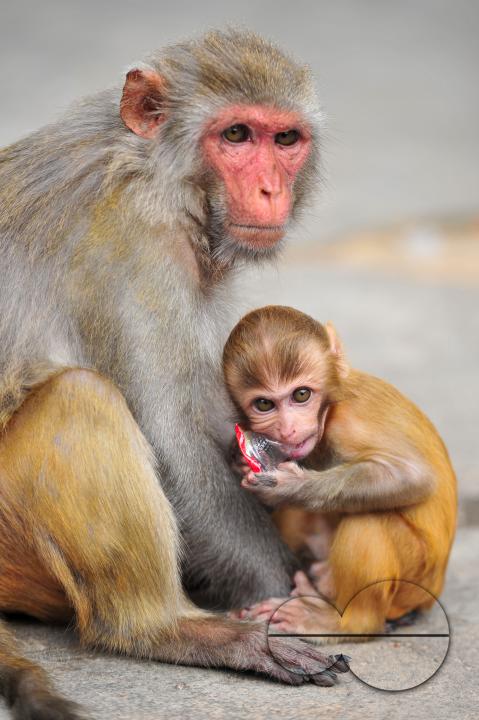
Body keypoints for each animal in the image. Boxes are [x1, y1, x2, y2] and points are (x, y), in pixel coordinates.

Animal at [0, 30, 351, 719]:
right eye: (236, 135)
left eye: (284, 139)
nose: (269, 191)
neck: (155, 176)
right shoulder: (131, 254)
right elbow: (176, 446)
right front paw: (288, 596)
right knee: (80, 398)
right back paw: (162, 628)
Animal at [222, 305, 457, 640]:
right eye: (264, 404)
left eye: (301, 395)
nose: (288, 428)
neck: (330, 409)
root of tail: (431, 593)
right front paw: (242, 458)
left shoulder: (349, 425)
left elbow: (414, 476)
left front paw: (289, 487)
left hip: (413, 581)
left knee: (369, 522)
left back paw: (343, 621)